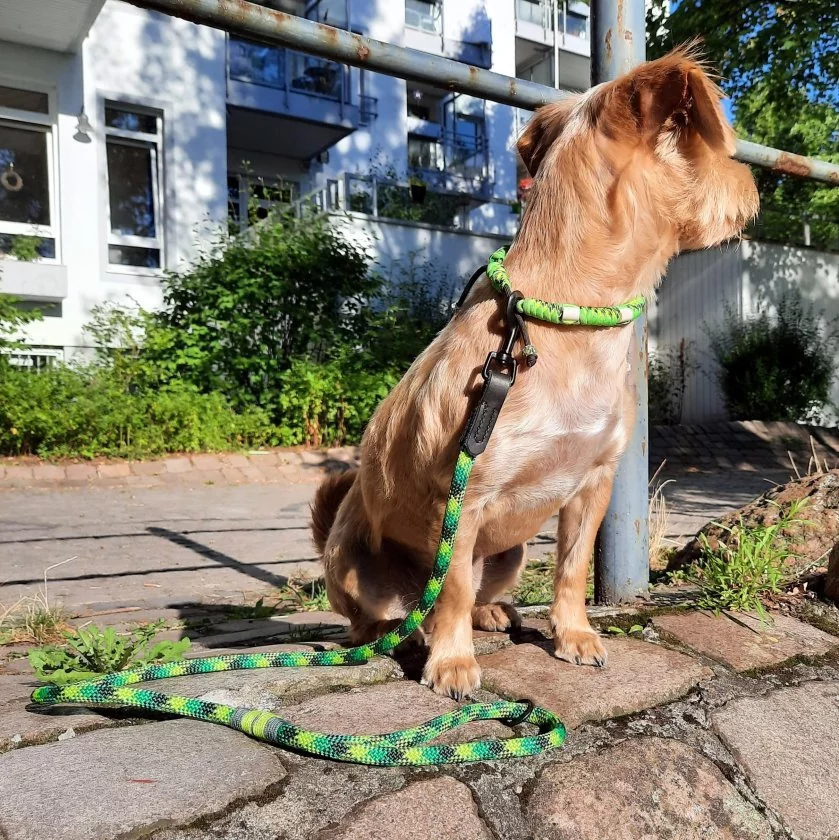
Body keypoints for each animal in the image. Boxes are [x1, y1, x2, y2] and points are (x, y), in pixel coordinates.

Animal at [312, 49, 756, 700]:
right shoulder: (463, 495)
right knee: (385, 616)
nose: (753, 182)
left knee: (465, 594)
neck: (569, 321)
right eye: (699, 134)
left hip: (512, 553)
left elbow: (571, 569)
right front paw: (452, 663)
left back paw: (490, 613)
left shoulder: (594, 484)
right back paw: (402, 637)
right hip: (349, 558)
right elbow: (451, 589)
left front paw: (572, 636)